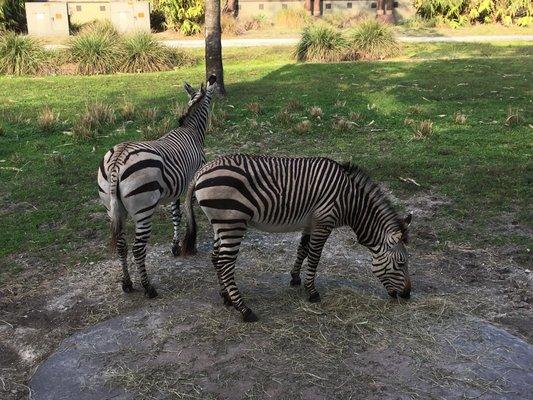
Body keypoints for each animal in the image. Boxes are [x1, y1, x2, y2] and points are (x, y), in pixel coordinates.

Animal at [97, 75, 216, 298]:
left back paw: (127, 284)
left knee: (122, 246)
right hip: (143, 208)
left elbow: (175, 215)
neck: (191, 131)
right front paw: (188, 246)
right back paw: (148, 288)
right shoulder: (189, 183)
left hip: (111, 207)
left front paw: (176, 247)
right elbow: (186, 214)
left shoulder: (175, 189)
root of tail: (118, 161)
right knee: (138, 249)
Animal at [182, 154, 412, 322]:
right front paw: (312, 291)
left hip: (220, 224)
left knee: (216, 259)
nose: (408, 295)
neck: (351, 201)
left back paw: (226, 298)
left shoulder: (310, 223)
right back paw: (244, 309)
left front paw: (295, 278)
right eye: (401, 263)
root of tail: (200, 171)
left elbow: (303, 249)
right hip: (232, 222)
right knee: (225, 263)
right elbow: (315, 256)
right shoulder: (324, 222)